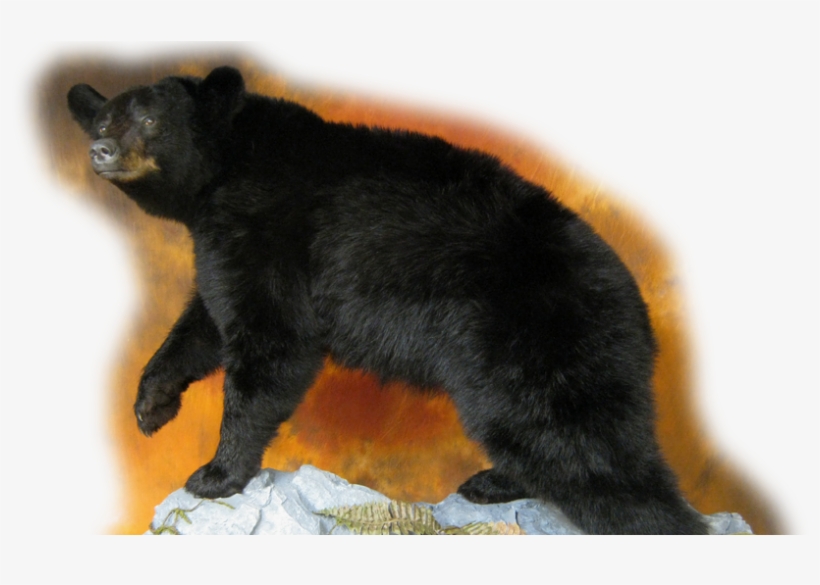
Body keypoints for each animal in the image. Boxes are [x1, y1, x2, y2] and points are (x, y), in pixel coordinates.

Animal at [67, 66, 708, 534]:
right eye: (102, 119)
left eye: (149, 119)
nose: (100, 150)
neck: (223, 171)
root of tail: (636, 313)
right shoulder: (226, 242)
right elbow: (205, 324)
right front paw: (152, 407)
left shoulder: (266, 227)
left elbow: (273, 344)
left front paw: (216, 474)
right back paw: (493, 482)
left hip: (534, 344)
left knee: (587, 447)